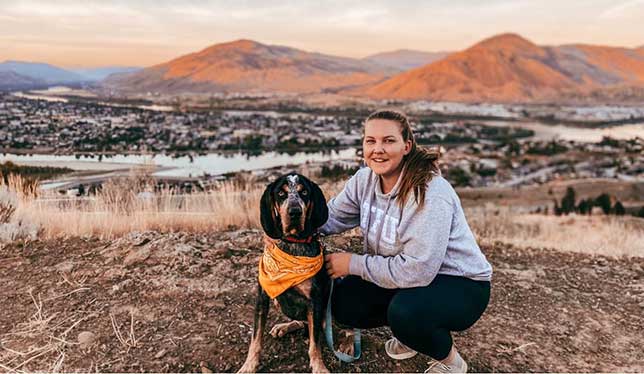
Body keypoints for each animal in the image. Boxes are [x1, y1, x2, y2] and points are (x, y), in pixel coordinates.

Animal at [239, 174, 334, 372]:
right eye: (281, 194)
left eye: (304, 192)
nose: (295, 212)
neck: (292, 244)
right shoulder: (262, 298)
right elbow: (255, 339)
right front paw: (249, 365)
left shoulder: (315, 301)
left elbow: (315, 344)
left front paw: (319, 366)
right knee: (299, 321)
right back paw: (283, 327)